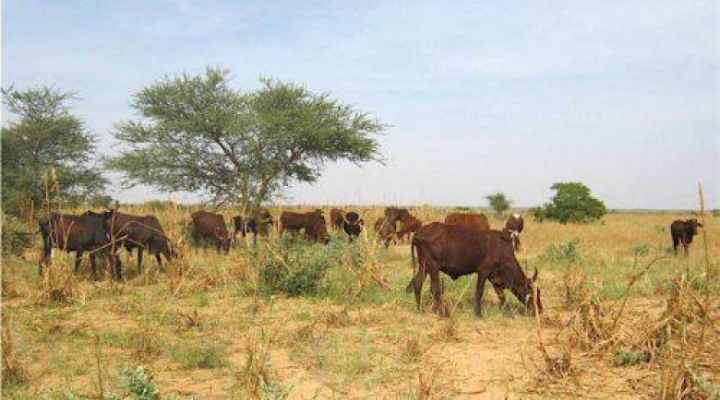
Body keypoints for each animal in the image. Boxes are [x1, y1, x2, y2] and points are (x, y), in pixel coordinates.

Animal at [404, 220, 540, 318]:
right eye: (534, 293)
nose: (539, 311)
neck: (502, 251)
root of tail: (420, 232)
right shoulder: (484, 271)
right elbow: (479, 292)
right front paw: (478, 313)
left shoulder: (494, 277)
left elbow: (501, 296)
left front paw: (508, 312)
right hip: (433, 268)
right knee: (436, 289)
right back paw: (444, 313)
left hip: (424, 267)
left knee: (418, 284)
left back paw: (420, 309)